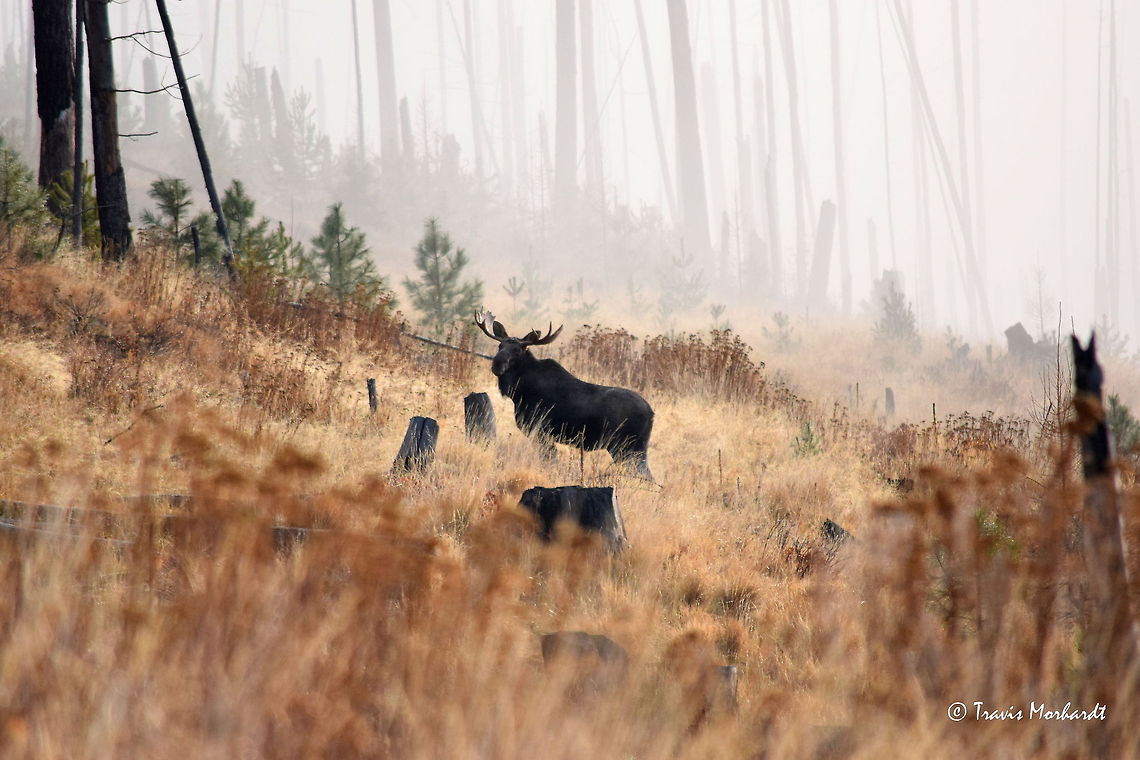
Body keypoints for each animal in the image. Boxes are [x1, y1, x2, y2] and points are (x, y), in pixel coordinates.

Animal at [474, 312, 654, 480]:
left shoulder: (541, 431)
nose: (497, 363)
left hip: (627, 446)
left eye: (518, 350)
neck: (520, 392)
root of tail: (651, 413)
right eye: (500, 346)